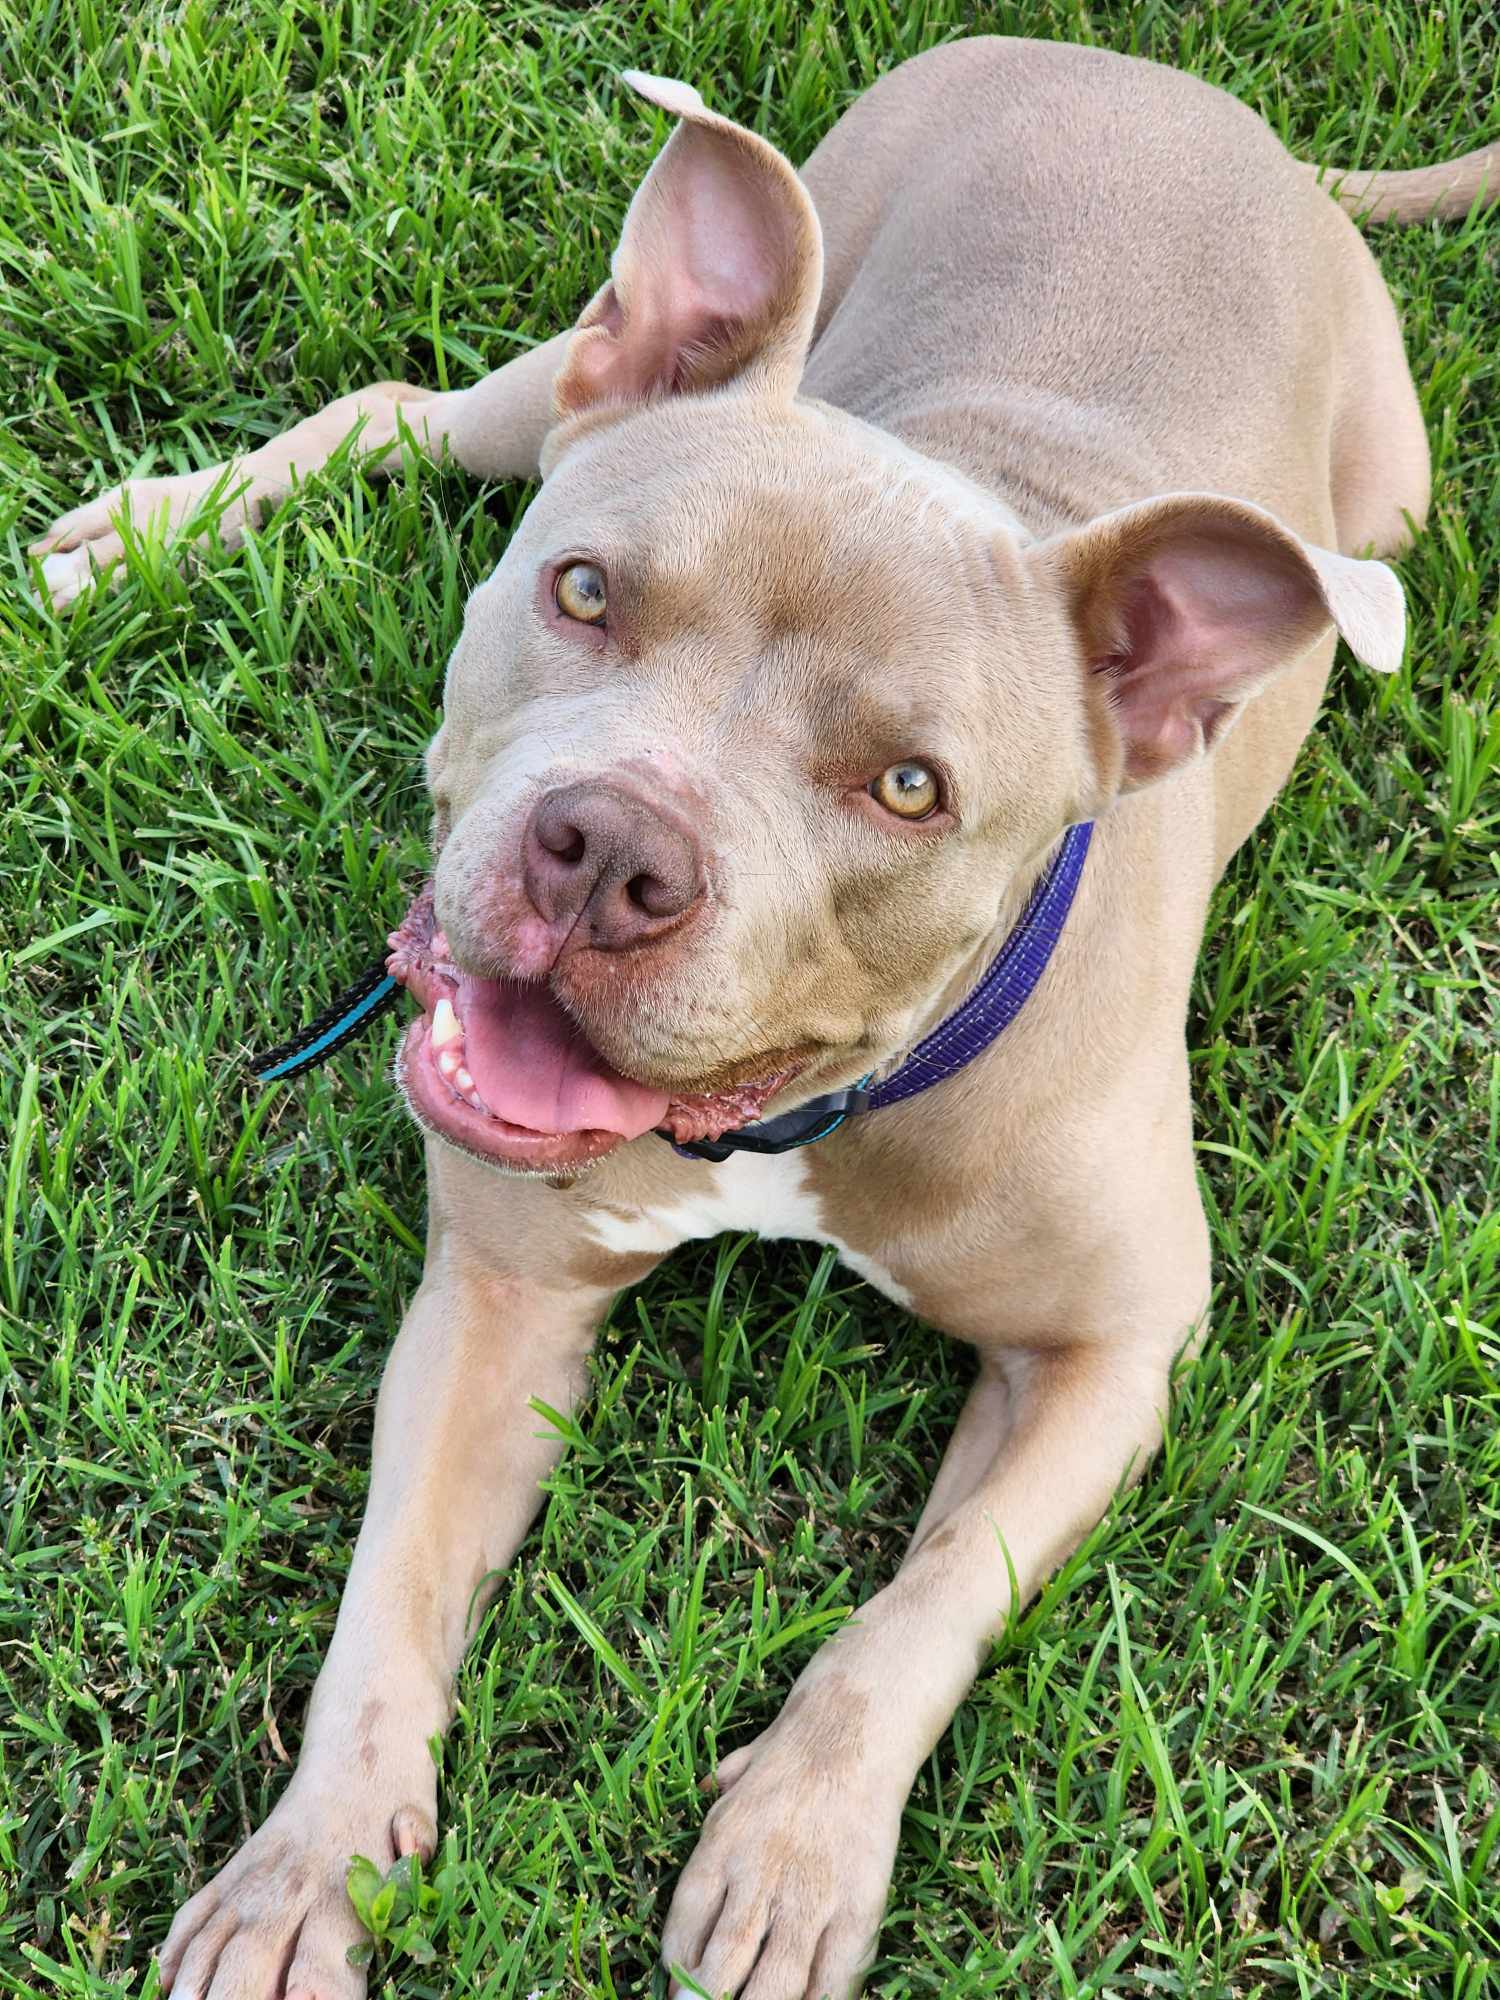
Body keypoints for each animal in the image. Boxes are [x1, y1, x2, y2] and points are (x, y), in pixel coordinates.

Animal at [32, 39, 1496, 2000]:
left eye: (909, 788)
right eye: (585, 592)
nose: (608, 858)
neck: (796, 1115)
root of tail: (1167, 75)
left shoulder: (1114, 1350)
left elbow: (927, 1605)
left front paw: (794, 1854)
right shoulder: (499, 1299)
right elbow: (386, 1606)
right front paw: (305, 1873)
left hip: (1389, 515)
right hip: (588, 367)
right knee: (405, 400)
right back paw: (144, 533)